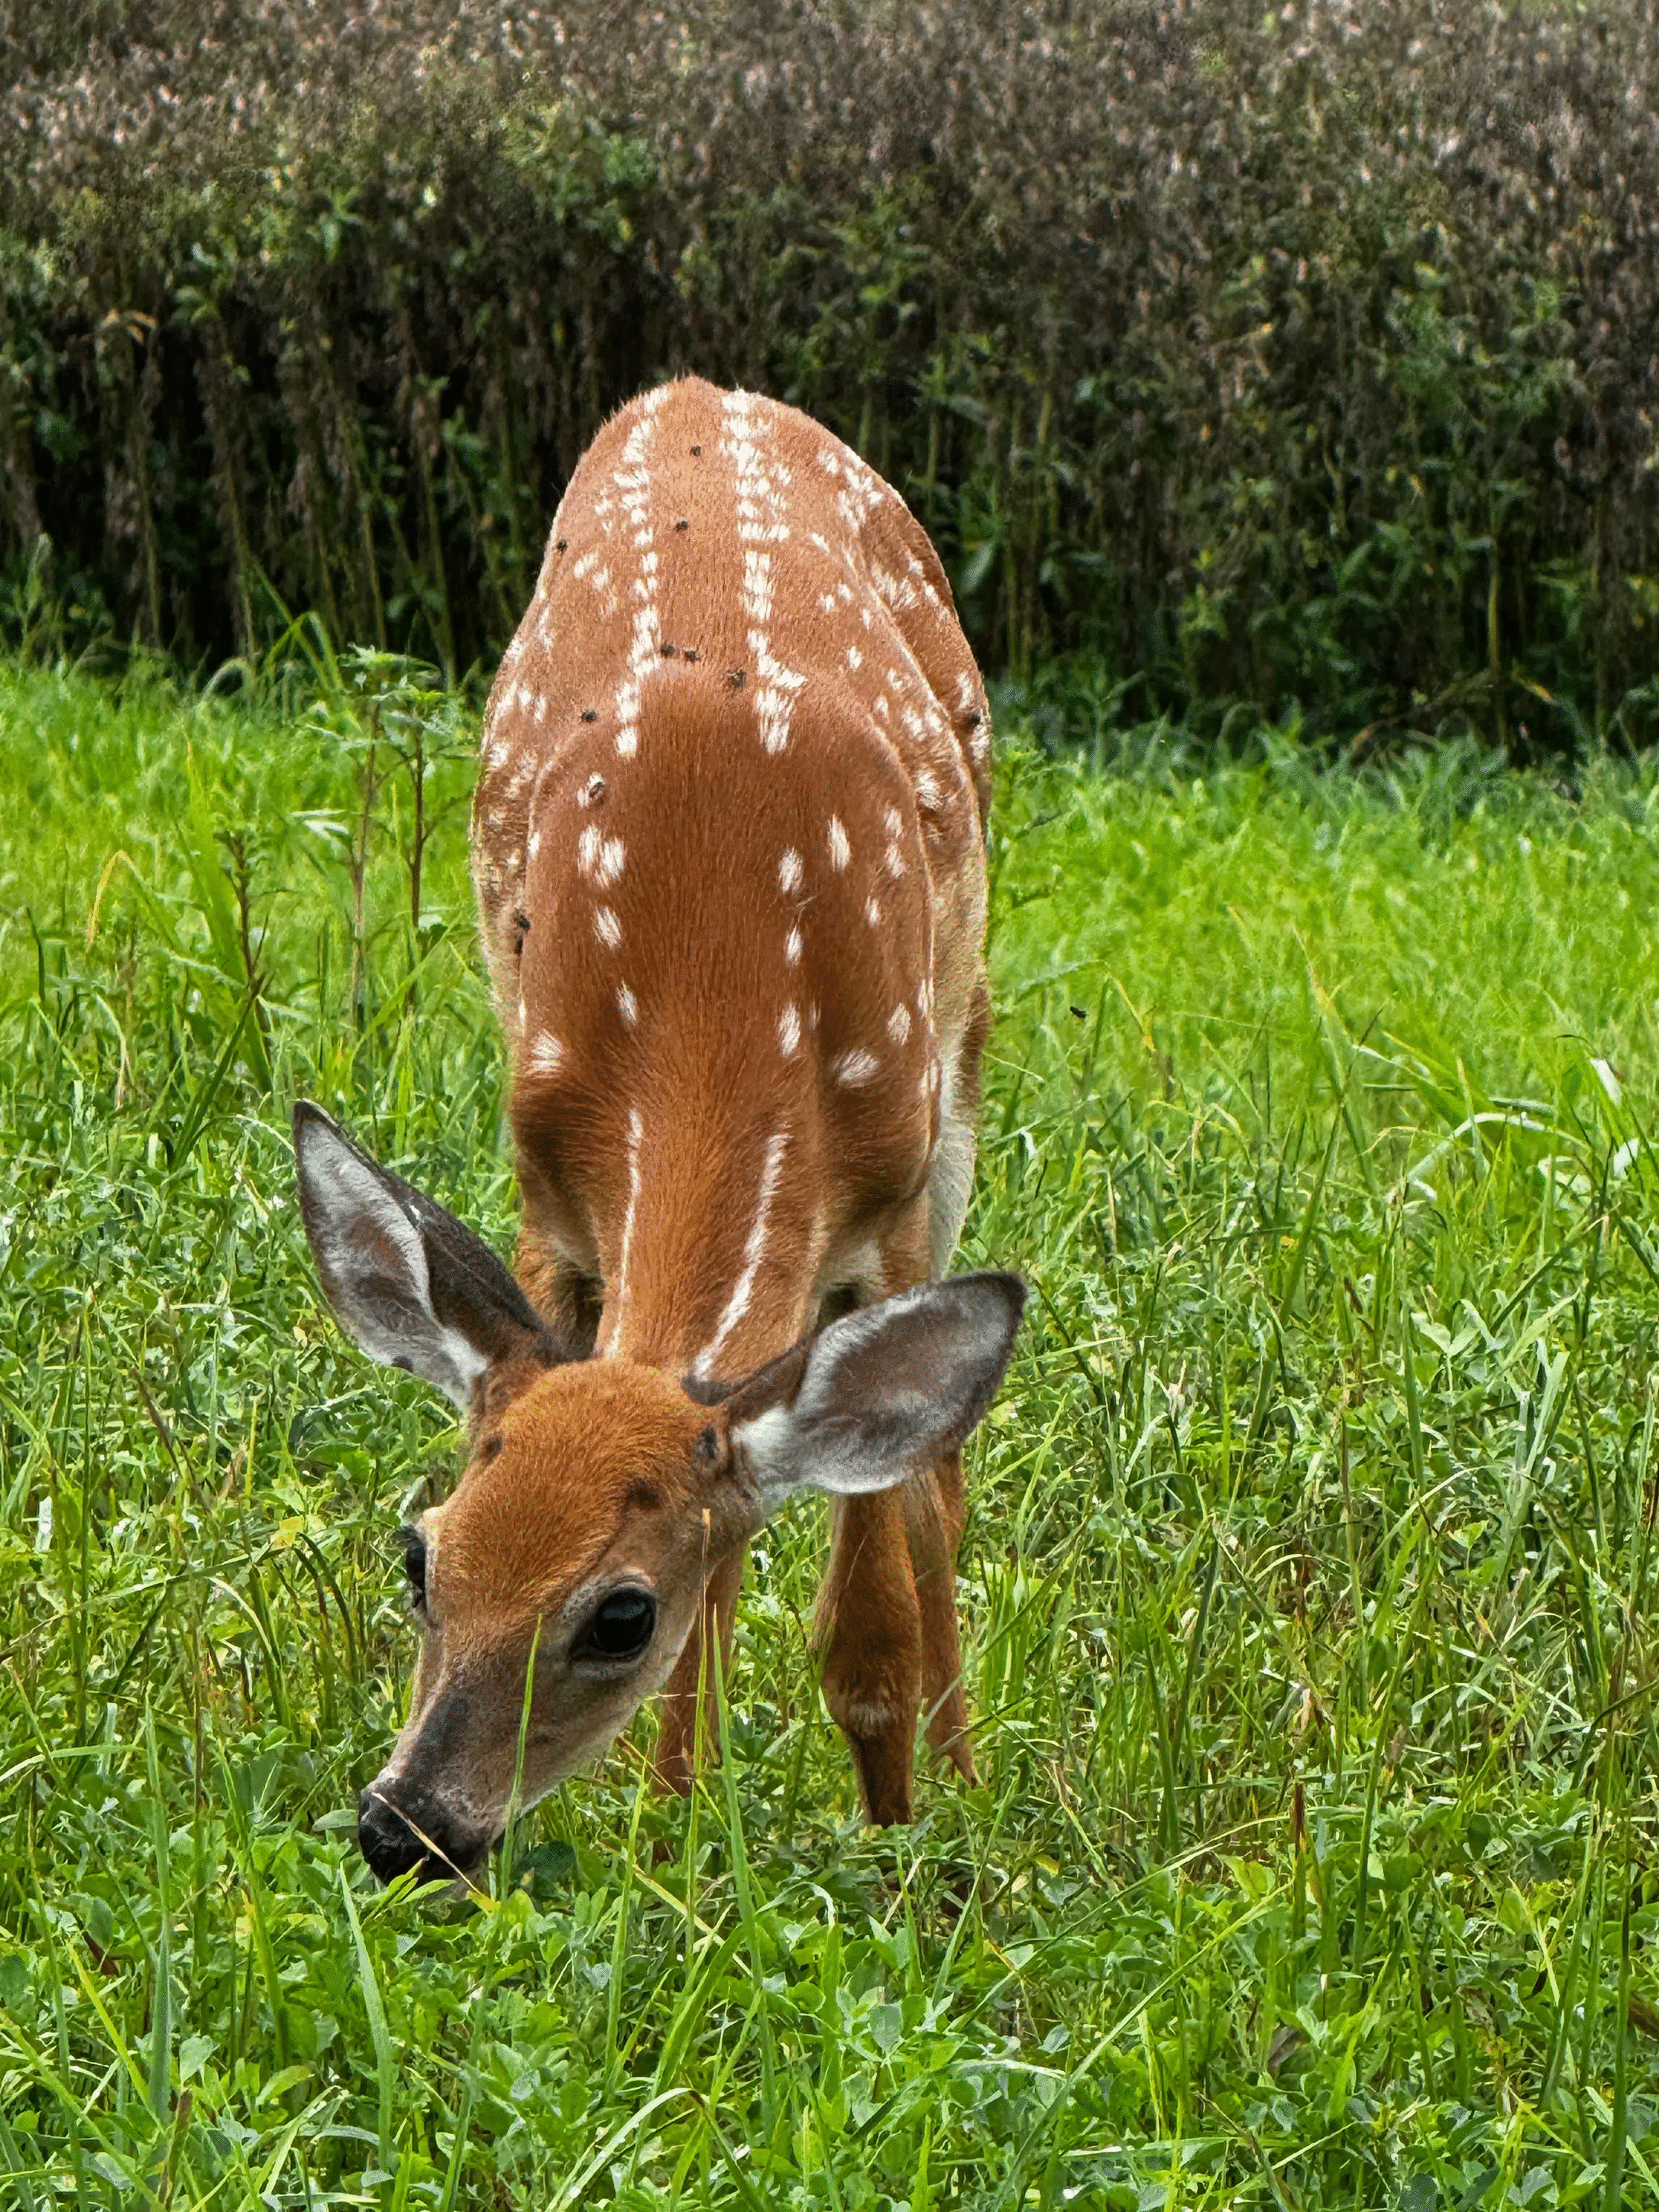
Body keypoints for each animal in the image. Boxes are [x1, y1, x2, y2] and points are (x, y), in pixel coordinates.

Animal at [292, 376, 1022, 1887]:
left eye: (617, 1613)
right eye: (420, 1555)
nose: (407, 1827)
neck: (719, 976)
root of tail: (702, 391)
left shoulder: (890, 1203)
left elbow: (866, 1630)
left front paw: (903, 1850)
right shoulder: (545, 1182)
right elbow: (723, 1561)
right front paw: (668, 1842)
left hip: (964, 1071)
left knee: (941, 1481)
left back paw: (969, 1779)